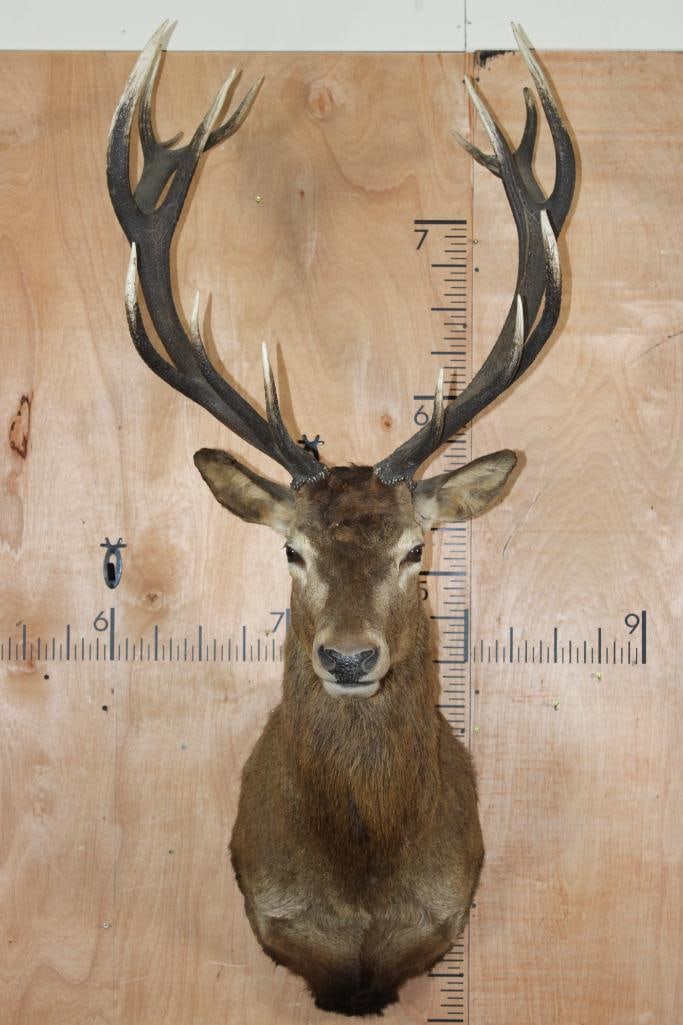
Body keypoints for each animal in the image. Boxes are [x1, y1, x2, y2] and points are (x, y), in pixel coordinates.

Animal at [107, 22, 575, 1018]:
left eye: (415, 550)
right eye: (290, 548)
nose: (351, 658)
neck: (360, 880)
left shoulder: (435, 923)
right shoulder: (289, 936)